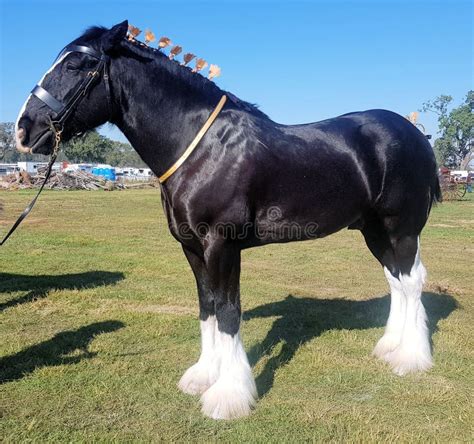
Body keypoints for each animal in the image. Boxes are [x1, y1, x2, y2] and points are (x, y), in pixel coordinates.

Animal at [14, 22, 440, 420]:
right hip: (373, 230)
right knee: (396, 281)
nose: (23, 129)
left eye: (75, 64)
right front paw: (203, 375)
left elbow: (229, 312)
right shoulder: (191, 247)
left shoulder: (222, 245)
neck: (202, 148)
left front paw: (229, 396)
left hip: (401, 228)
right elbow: (208, 307)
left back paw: (411, 358)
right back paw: (390, 347)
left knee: (411, 281)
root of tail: (416, 134)